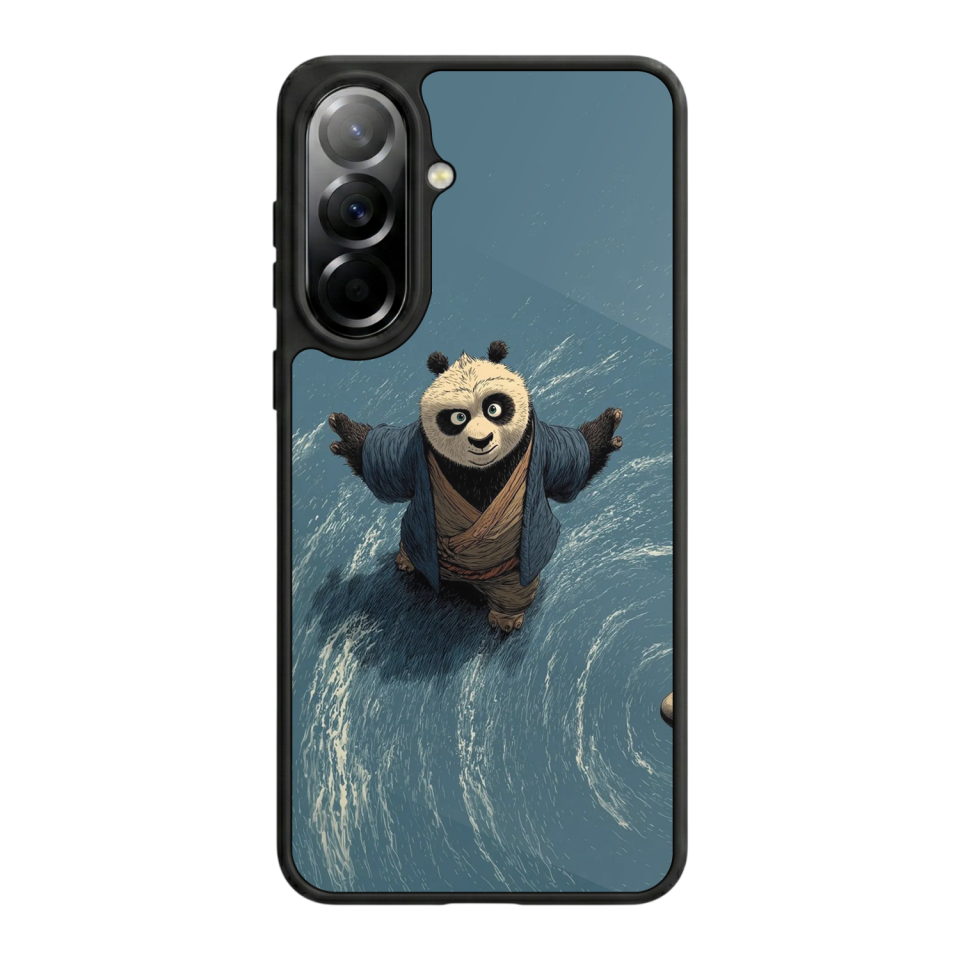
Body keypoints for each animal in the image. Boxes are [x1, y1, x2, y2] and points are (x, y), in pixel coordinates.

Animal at [329, 340, 623, 633]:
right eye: (458, 417)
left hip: (511, 575)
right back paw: (407, 559)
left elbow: (571, 465)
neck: (481, 472)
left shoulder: (543, 448)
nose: (481, 441)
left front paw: (608, 426)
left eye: (494, 409)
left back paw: (506, 619)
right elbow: (386, 467)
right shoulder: (412, 453)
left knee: (514, 593)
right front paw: (344, 431)